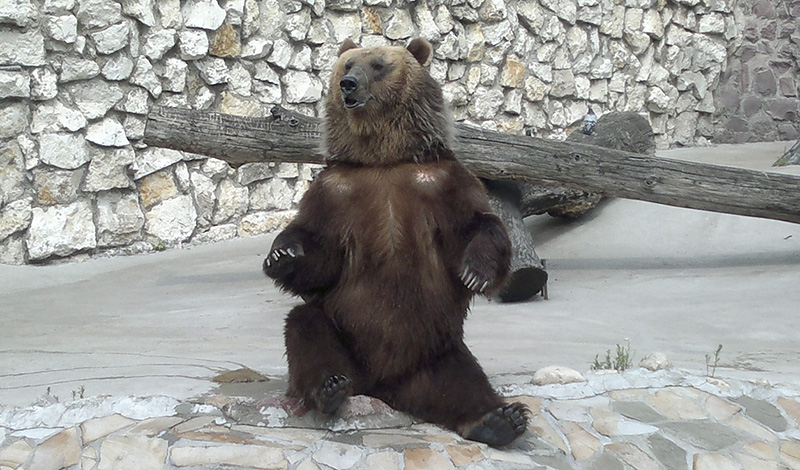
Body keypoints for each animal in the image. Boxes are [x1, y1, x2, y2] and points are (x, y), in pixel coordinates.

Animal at [264, 38, 532, 446]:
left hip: (436, 347)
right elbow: (319, 254)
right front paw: (281, 254)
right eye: (347, 65)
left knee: (463, 380)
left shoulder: (440, 182)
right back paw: (329, 388)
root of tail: (385, 387)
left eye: (378, 64)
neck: (383, 159)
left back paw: (498, 419)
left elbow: (478, 225)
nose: (348, 84)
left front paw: (476, 271)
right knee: (306, 326)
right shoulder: (335, 193)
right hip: (349, 340)